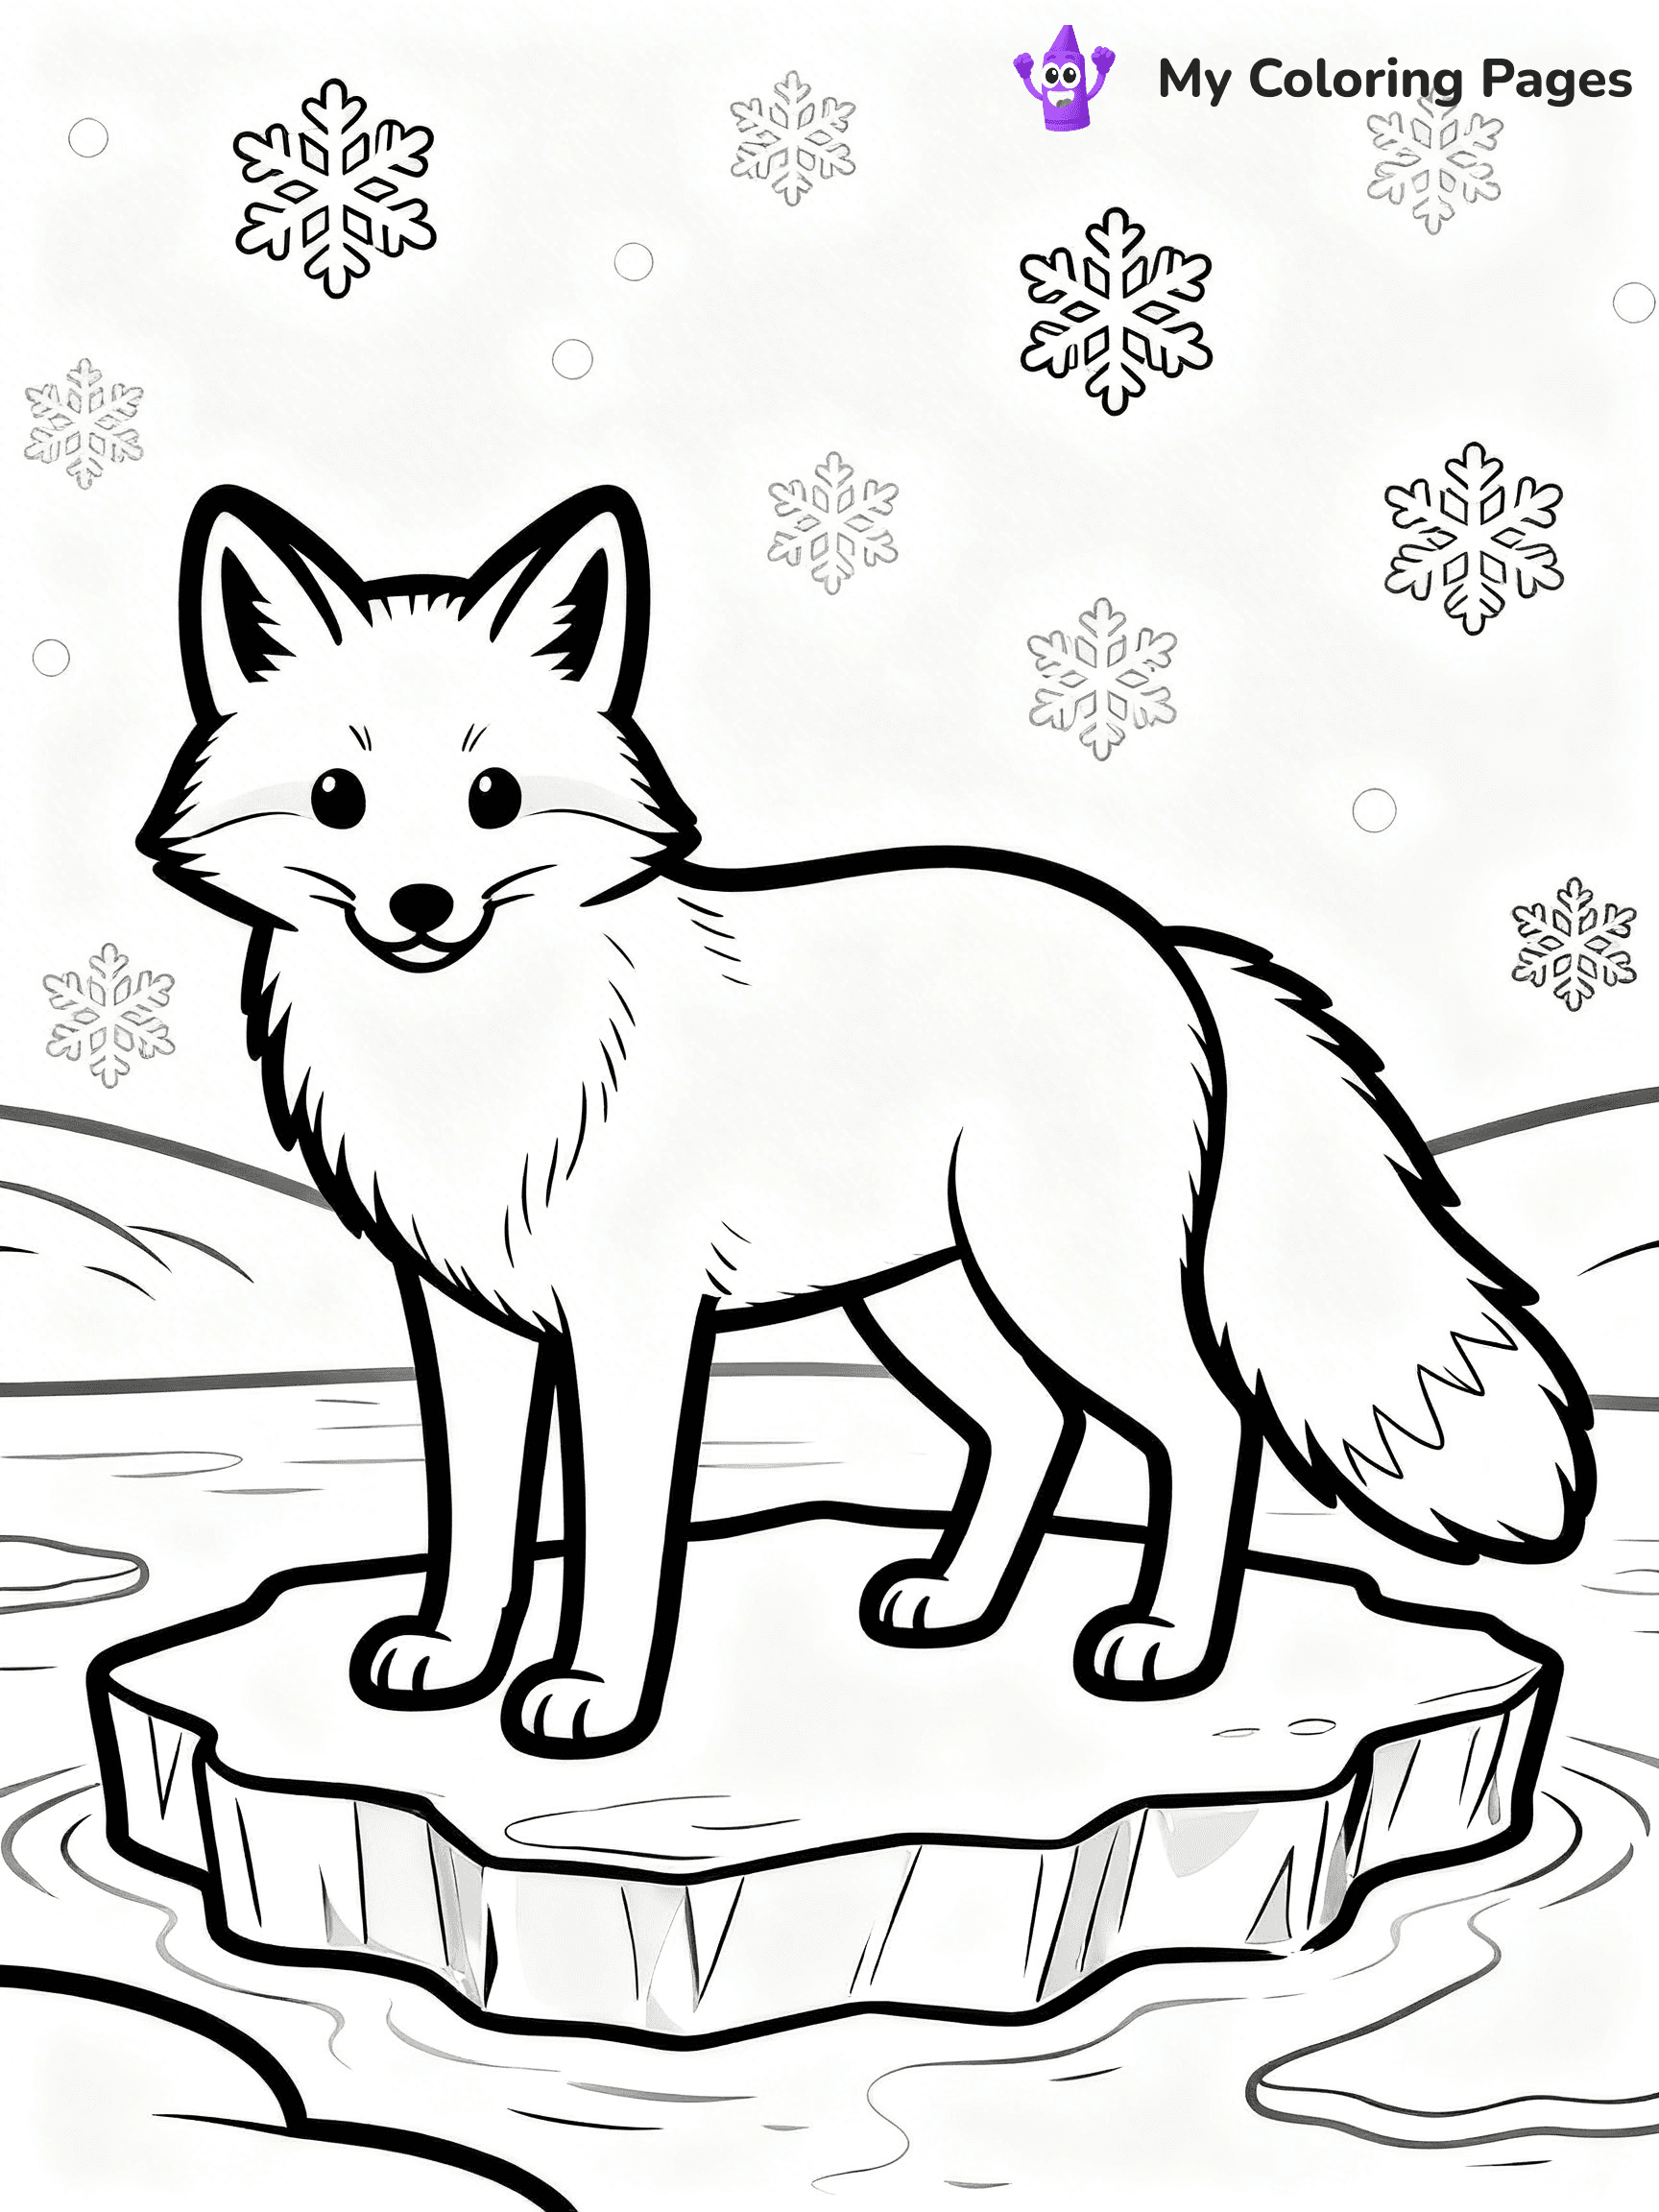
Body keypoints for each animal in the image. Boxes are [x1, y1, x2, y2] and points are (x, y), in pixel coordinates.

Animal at [140, 484, 1594, 1758]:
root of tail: (1163, 941)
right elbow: (480, 1519)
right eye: (338, 799)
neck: (472, 1053)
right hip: (923, 1300)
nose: (423, 907)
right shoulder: (466, 1317)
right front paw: (451, 1658)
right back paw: (955, 1603)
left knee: (1204, 1424)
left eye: (492, 797)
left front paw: (596, 1698)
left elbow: (622, 1539)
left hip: (1058, 1285)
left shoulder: (634, 1323)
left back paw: (1168, 1644)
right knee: (1036, 1429)